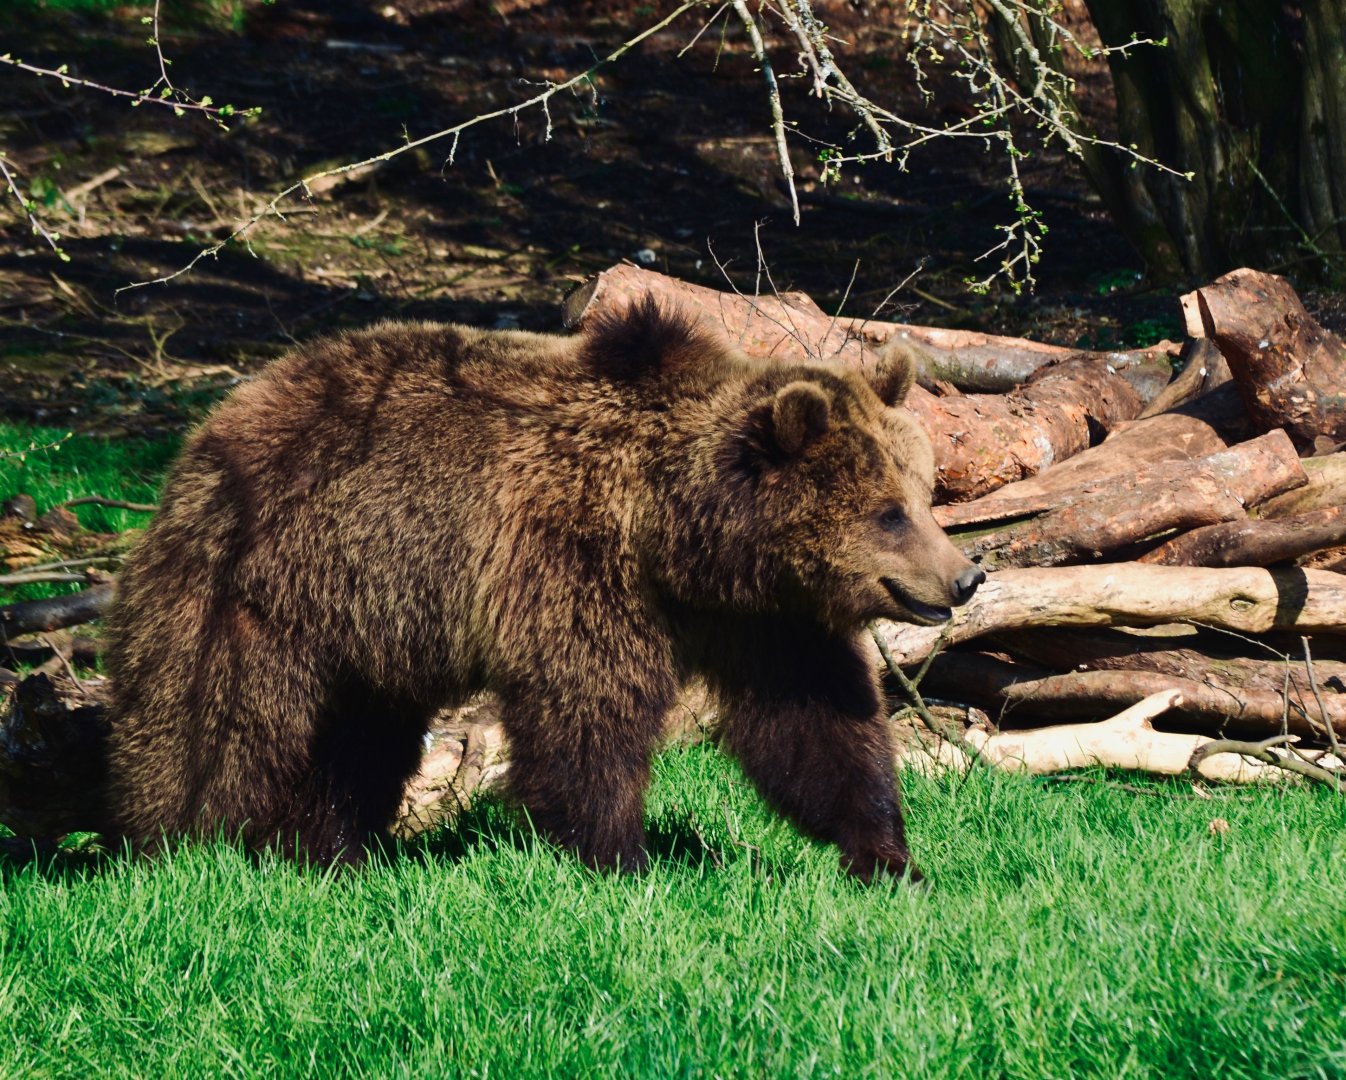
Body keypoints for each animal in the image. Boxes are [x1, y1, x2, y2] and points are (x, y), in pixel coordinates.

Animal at [104, 296, 984, 880]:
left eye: (921, 492)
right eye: (887, 513)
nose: (966, 575)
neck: (675, 531)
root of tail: (213, 422)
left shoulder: (758, 617)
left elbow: (816, 720)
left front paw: (887, 857)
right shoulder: (571, 560)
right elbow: (587, 708)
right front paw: (621, 857)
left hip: (368, 627)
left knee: (356, 738)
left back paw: (333, 850)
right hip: (261, 582)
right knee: (222, 730)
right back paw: (185, 850)